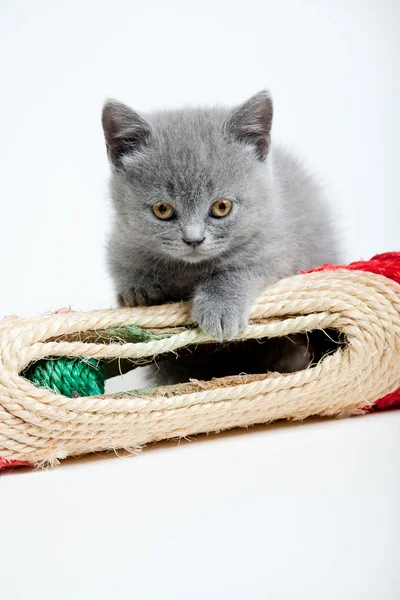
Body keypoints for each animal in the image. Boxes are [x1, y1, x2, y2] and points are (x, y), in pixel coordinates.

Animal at [101, 90, 340, 342]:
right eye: (162, 209)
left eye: (222, 207)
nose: (193, 239)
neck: (190, 270)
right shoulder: (121, 238)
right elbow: (121, 263)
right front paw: (138, 289)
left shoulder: (276, 248)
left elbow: (238, 271)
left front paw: (220, 308)